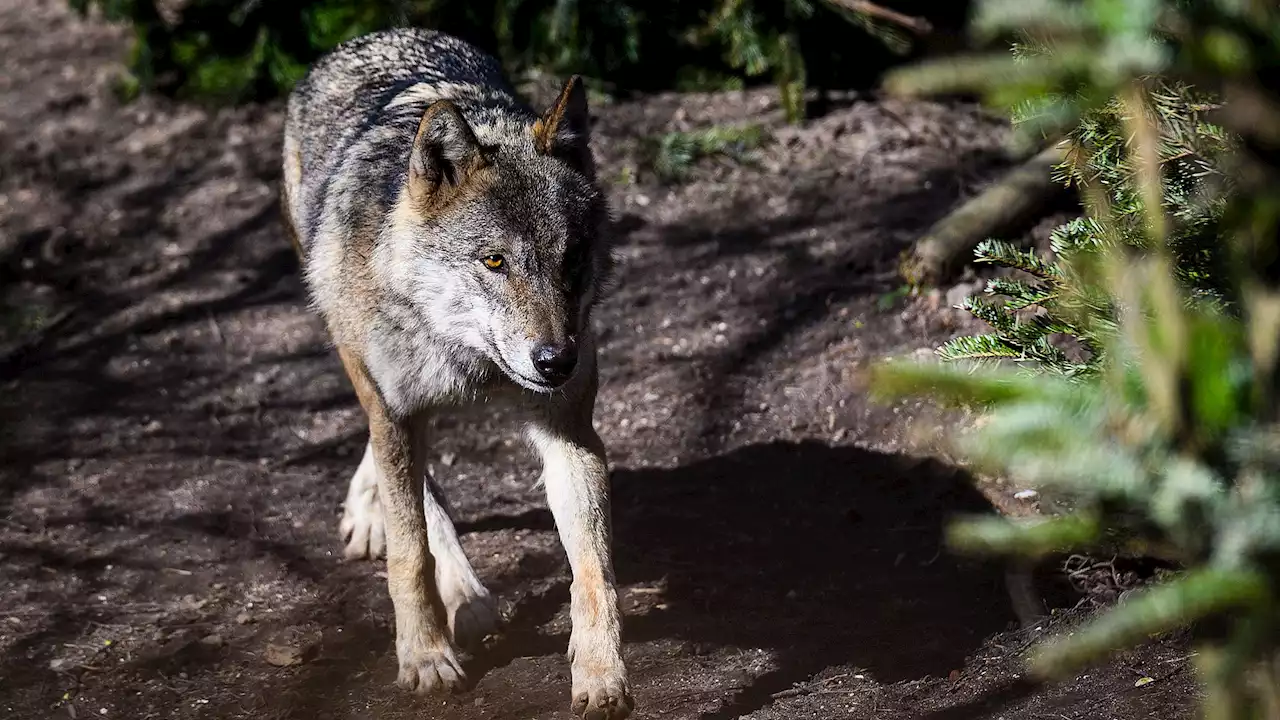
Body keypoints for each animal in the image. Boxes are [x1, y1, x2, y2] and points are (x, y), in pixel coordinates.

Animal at [285, 28, 634, 717]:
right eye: (494, 260)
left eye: (571, 260)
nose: (556, 361)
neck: (469, 360)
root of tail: (376, 35)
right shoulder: (395, 411)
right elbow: (409, 554)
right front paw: (424, 657)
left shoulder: (569, 431)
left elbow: (592, 570)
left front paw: (601, 674)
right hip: (355, 353)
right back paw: (460, 594)